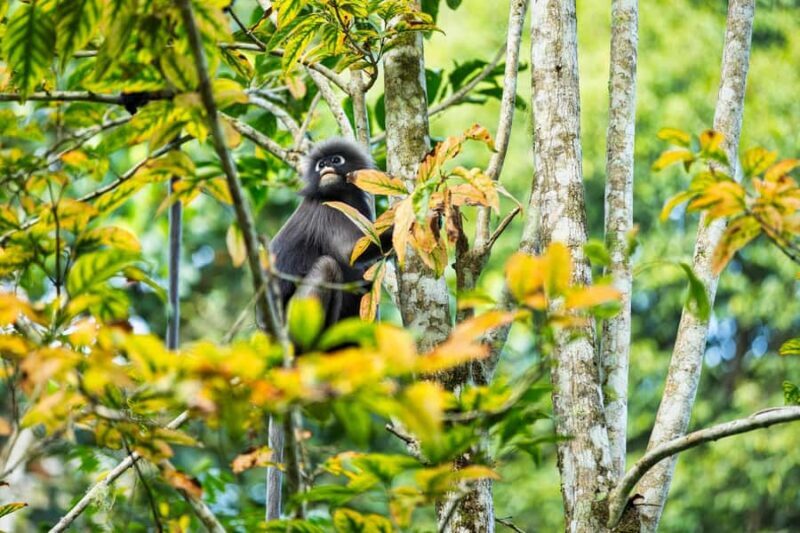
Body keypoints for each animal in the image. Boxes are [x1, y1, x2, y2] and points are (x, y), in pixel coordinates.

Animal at [270, 138, 390, 328]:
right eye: (321, 164)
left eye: (335, 160)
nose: (326, 166)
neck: (341, 195)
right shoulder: (326, 208)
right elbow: (349, 251)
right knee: (327, 266)